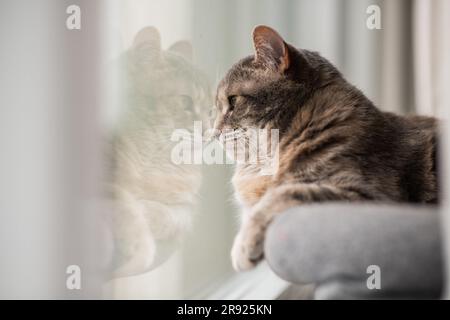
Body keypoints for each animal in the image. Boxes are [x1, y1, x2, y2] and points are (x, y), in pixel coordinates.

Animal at [108, 26, 212, 278]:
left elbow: (170, 217)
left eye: (210, 110)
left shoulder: (184, 210)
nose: (208, 132)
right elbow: (125, 203)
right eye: (185, 102)